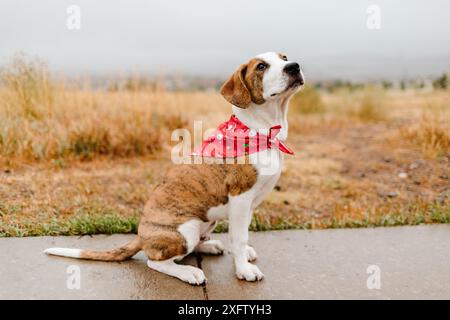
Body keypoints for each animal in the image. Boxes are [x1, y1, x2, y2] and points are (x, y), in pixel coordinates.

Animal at [44, 52, 306, 284]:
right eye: (261, 66)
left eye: (283, 58)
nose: (294, 66)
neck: (261, 131)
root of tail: (141, 235)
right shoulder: (240, 197)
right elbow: (239, 237)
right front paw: (244, 270)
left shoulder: (248, 204)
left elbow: (242, 234)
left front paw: (245, 254)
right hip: (185, 230)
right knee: (156, 261)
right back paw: (189, 273)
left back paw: (210, 246)